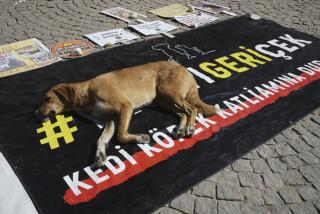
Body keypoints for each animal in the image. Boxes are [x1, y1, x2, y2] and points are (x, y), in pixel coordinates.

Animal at [36, 61, 219, 166]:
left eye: (47, 99)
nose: (35, 113)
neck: (87, 93)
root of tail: (185, 70)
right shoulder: (111, 120)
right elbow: (101, 139)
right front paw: (99, 154)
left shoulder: (125, 107)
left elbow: (121, 136)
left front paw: (141, 138)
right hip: (164, 100)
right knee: (183, 113)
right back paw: (181, 128)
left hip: (169, 92)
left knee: (192, 109)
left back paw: (190, 128)